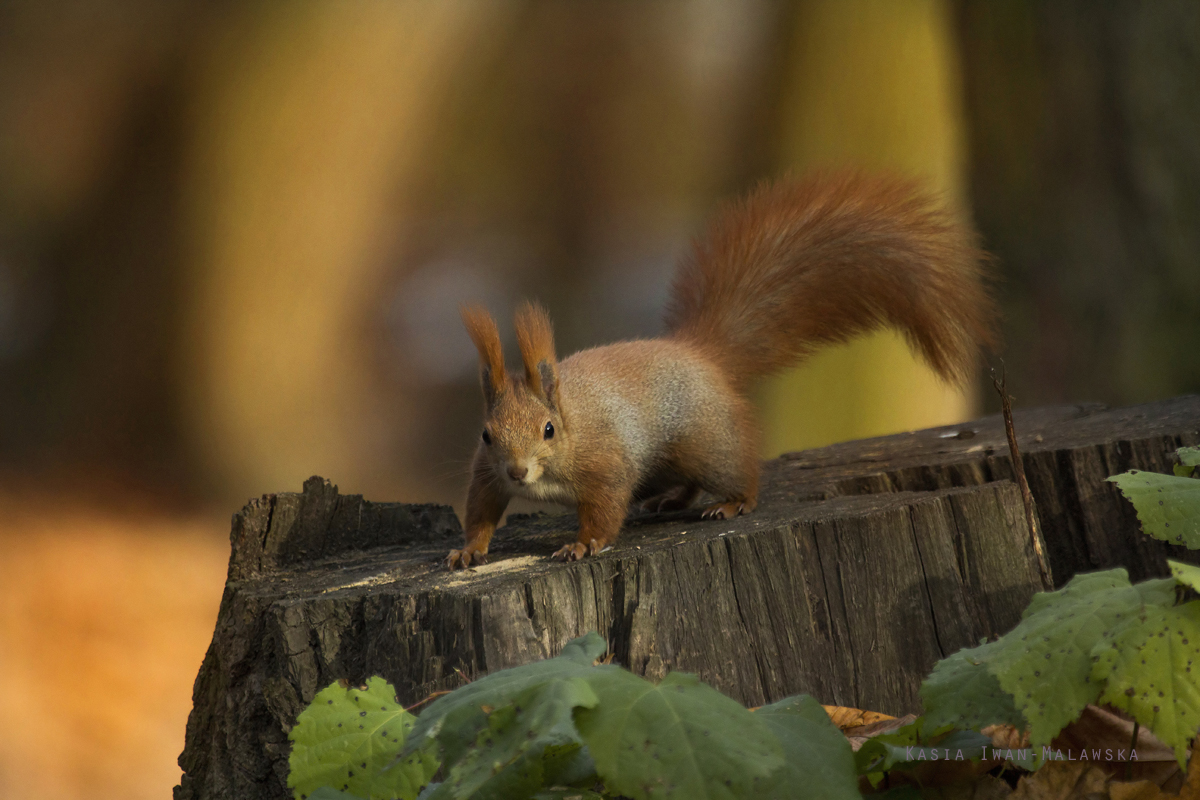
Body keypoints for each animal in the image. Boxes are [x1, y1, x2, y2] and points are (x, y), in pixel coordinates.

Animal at [444, 172, 993, 568]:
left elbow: (604, 509)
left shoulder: (604, 464)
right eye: (487, 435)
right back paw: (670, 501)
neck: (572, 422)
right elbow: (480, 509)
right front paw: (468, 550)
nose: (518, 470)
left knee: (738, 471)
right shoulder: (487, 474)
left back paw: (731, 504)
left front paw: (582, 545)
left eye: (549, 430)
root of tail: (701, 353)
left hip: (707, 442)